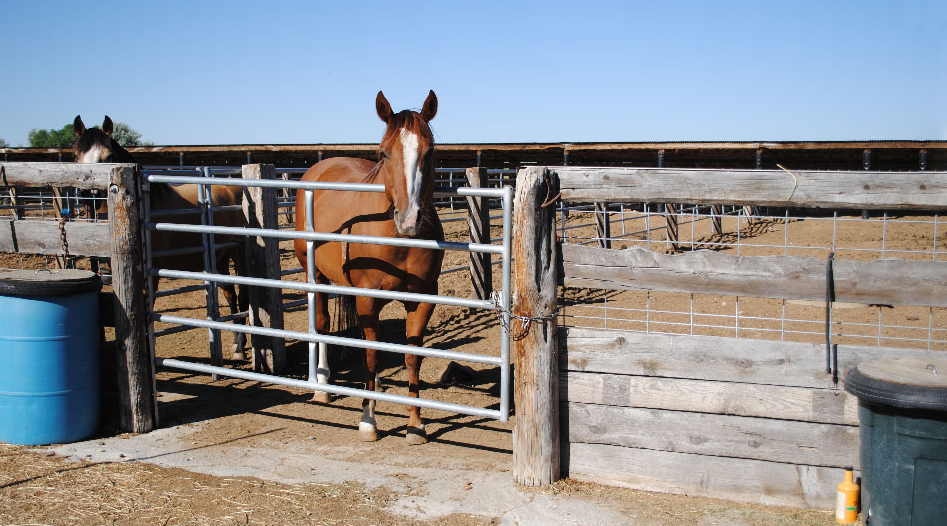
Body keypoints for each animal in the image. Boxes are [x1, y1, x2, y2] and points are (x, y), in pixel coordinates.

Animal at [73, 115, 249, 359]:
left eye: (108, 157)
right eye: (76, 156)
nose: (88, 196)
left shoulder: (148, 277)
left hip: (238, 254)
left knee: (242, 296)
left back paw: (241, 347)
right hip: (220, 259)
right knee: (230, 295)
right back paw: (236, 344)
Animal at [293, 91, 444, 445]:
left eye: (430, 151)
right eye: (383, 153)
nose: (409, 219)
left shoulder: (423, 300)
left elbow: (412, 357)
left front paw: (415, 425)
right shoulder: (367, 299)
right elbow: (372, 355)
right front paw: (368, 421)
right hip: (314, 275)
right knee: (322, 325)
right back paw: (322, 386)